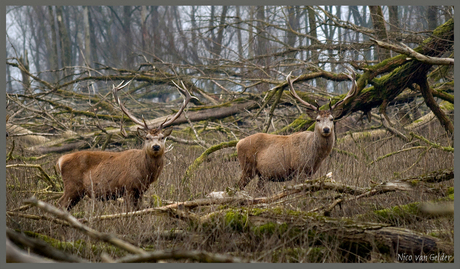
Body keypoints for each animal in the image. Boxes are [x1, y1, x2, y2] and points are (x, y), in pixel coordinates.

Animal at [56, 79, 197, 209]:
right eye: (147, 138)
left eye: (162, 137)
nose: (156, 146)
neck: (145, 172)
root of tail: (60, 160)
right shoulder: (128, 187)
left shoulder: (140, 191)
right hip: (72, 186)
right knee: (60, 203)